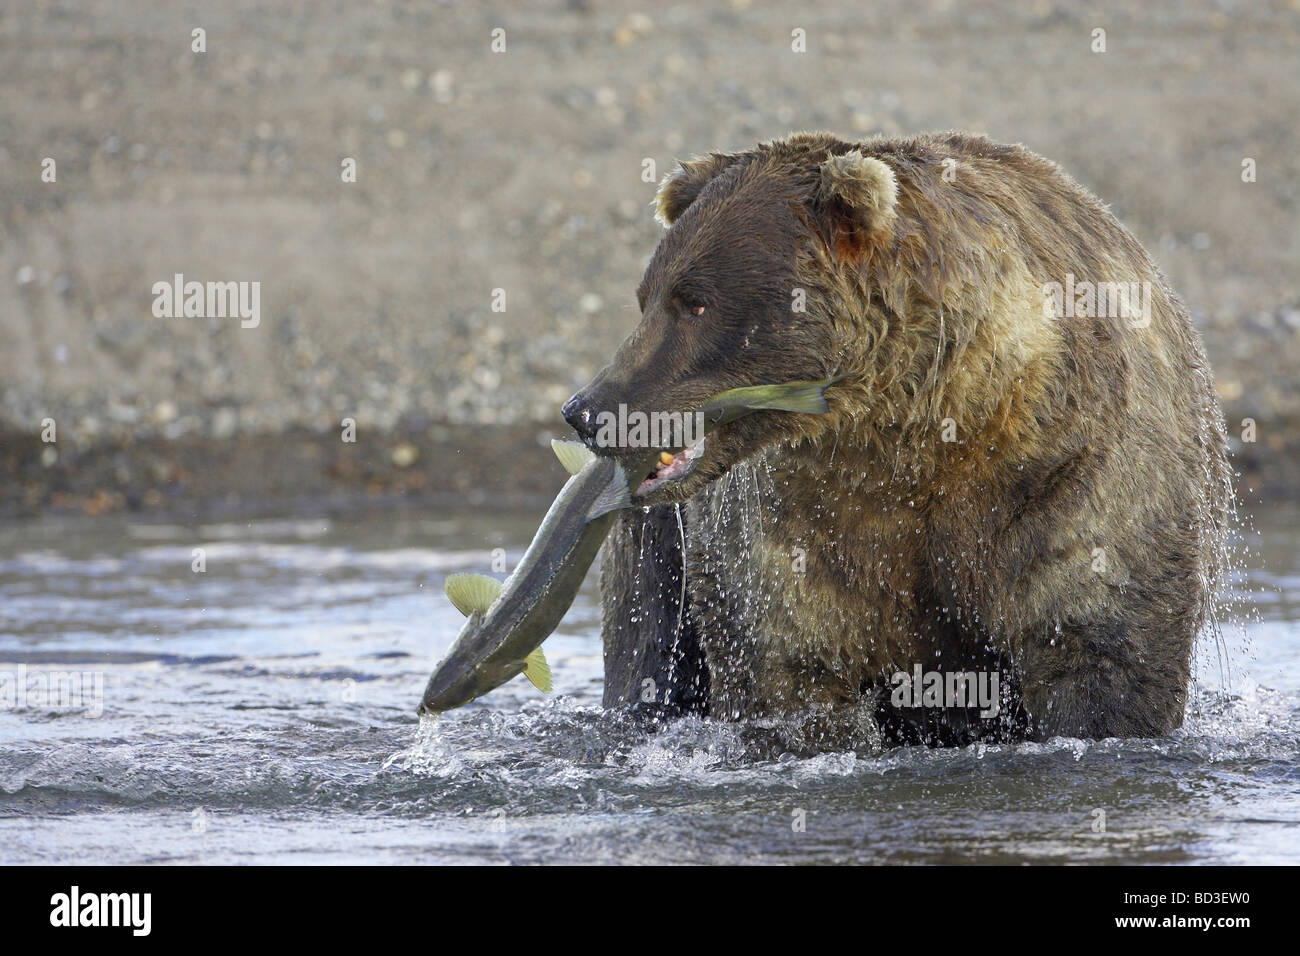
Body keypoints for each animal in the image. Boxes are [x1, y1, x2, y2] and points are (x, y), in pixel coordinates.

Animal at [566, 132, 1227, 749]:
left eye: (694, 303)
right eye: (647, 298)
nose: (587, 410)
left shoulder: (1072, 474)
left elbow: (1104, 659)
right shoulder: (802, 517)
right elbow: (790, 668)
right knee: (649, 655)